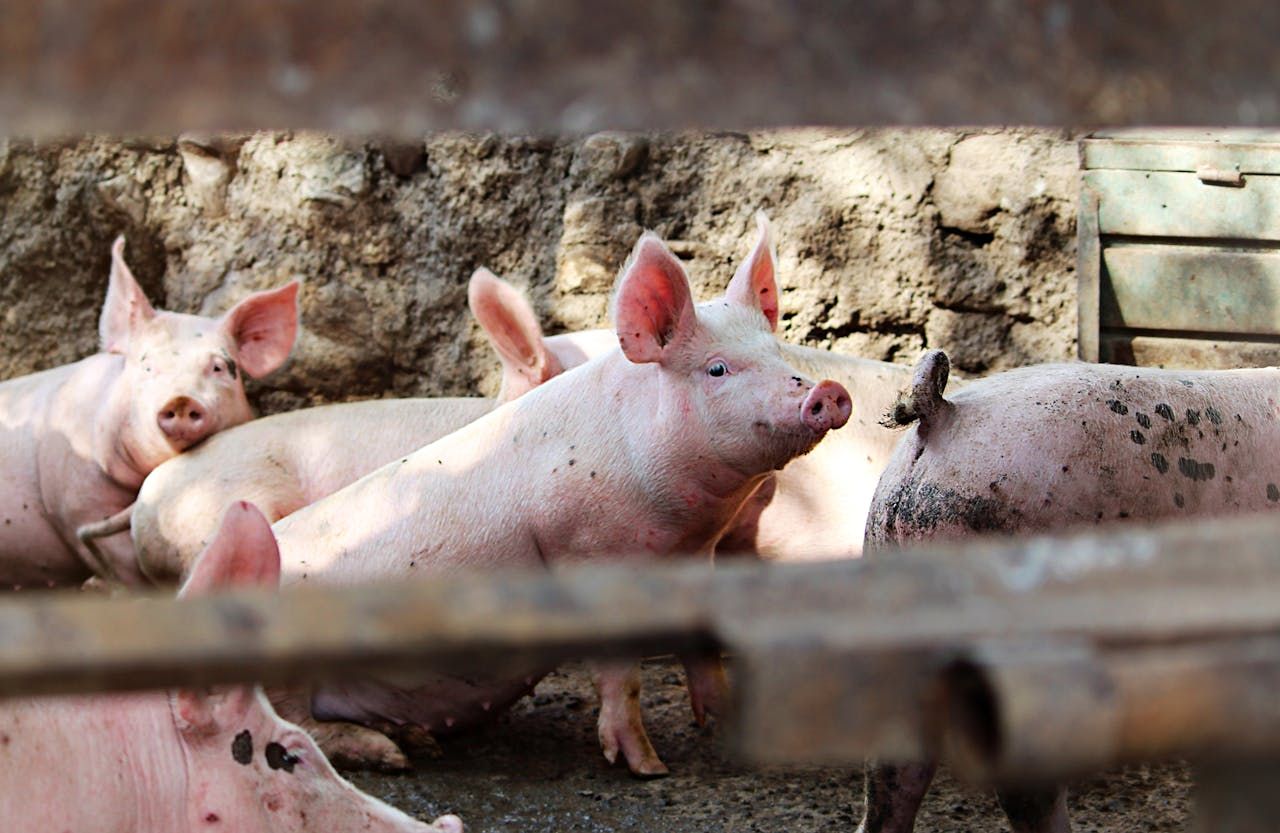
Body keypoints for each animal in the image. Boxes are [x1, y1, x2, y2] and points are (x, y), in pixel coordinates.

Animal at [265, 227, 851, 776]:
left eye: (777, 353)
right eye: (717, 369)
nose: (828, 391)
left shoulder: (694, 558)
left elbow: (703, 644)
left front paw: (726, 728)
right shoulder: (590, 554)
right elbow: (622, 675)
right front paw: (648, 768)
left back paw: (414, 741)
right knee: (295, 725)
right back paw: (392, 755)